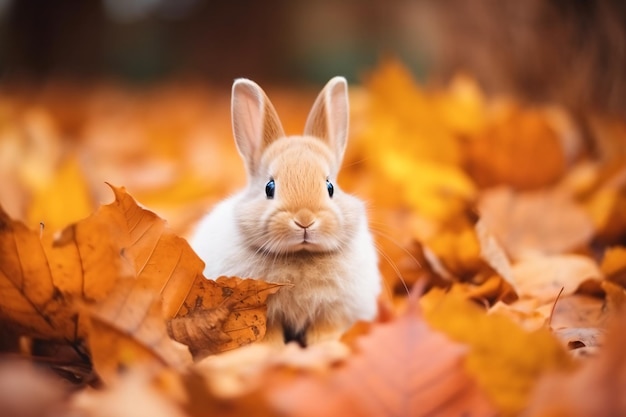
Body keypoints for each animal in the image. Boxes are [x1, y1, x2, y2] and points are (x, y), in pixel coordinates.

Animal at [188, 76, 378, 346]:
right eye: (270, 187)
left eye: (330, 187)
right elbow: (270, 337)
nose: (305, 220)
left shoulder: (333, 313)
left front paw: (324, 348)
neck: (301, 254)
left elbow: (325, 334)